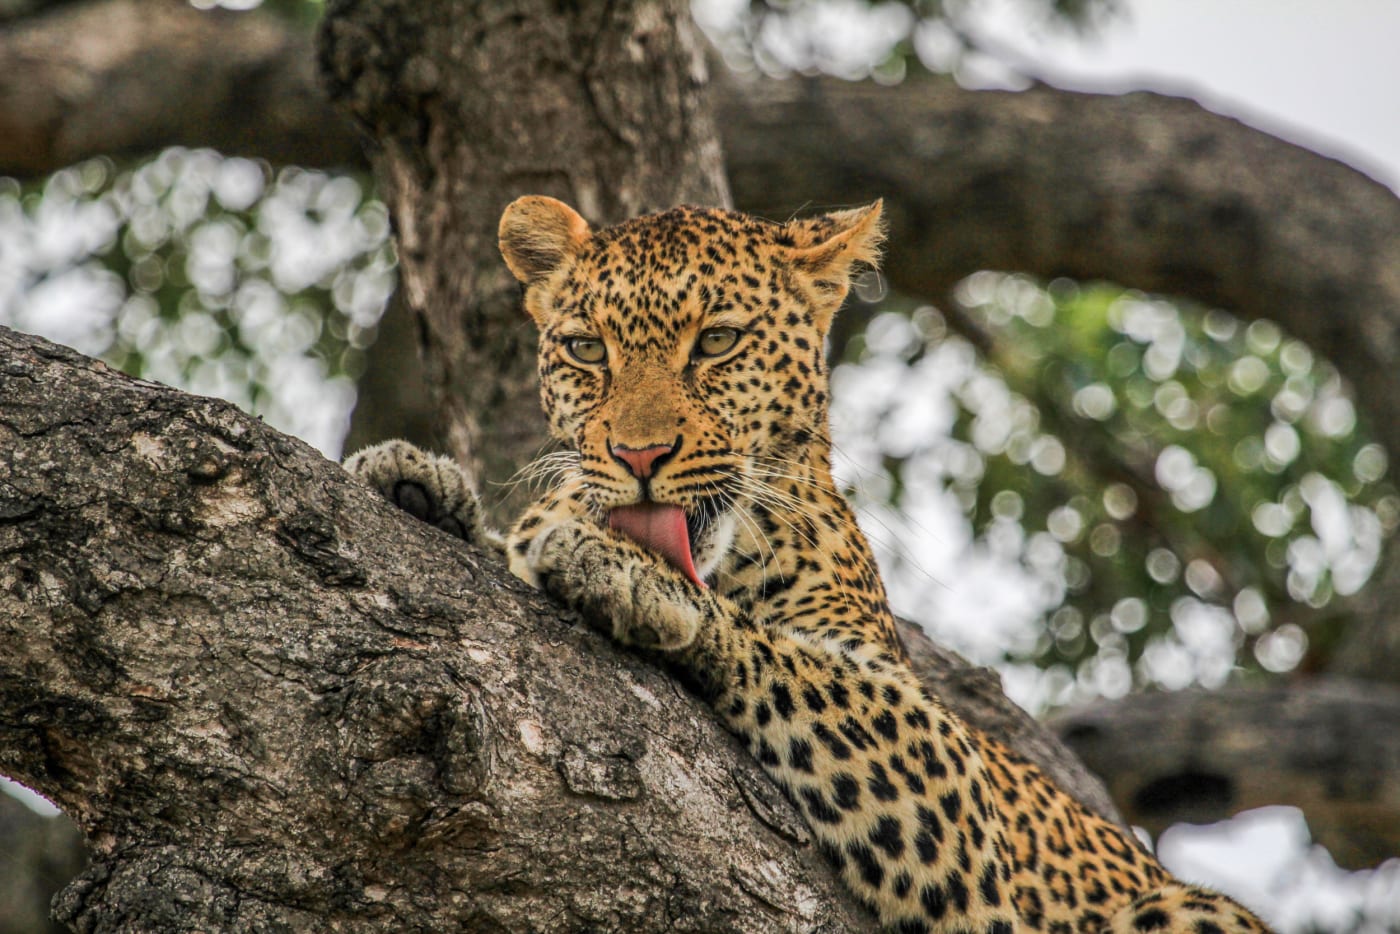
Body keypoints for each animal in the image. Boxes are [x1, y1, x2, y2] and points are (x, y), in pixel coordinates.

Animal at [345, 196, 1274, 933]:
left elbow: (782, 653)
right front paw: (415, 484)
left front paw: (631, 577)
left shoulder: (949, 781)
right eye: (585, 349)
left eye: (717, 343)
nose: (638, 454)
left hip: (1191, 905)